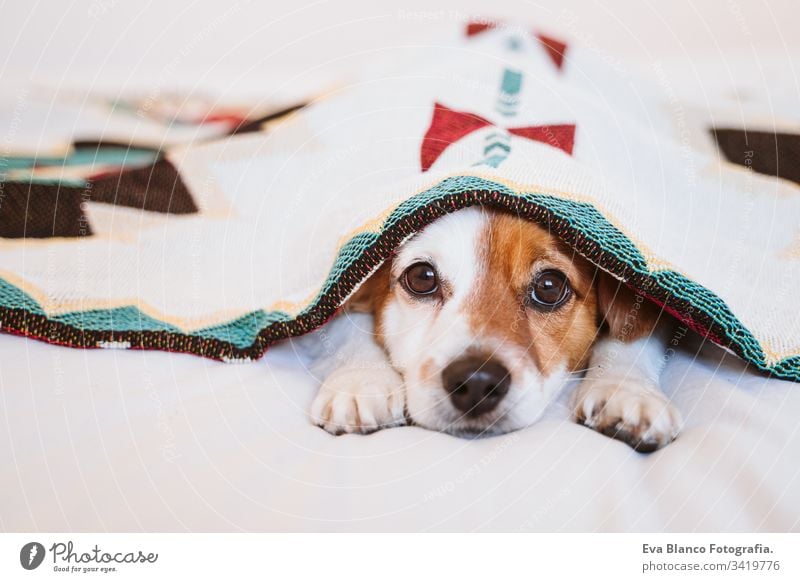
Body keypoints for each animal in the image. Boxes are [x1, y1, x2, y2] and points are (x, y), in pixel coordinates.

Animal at [306, 208, 680, 454]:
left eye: (549, 286)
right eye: (422, 277)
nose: (476, 382)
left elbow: (633, 331)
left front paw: (626, 390)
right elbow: (342, 324)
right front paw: (361, 379)